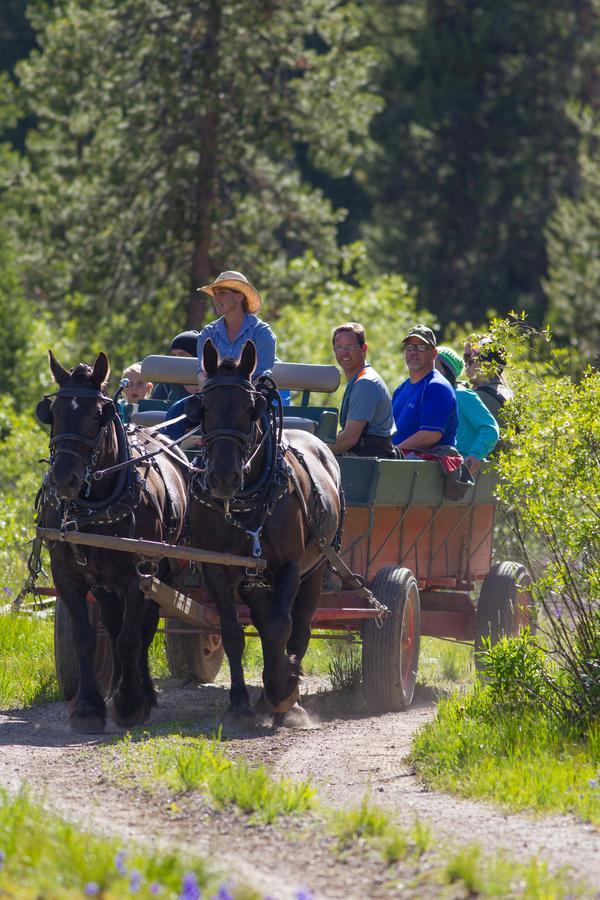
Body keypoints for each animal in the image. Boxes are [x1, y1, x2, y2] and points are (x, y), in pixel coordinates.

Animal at [37, 352, 188, 732]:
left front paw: (130, 704)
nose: (64, 479)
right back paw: (116, 686)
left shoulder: (139, 576)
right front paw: (88, 708)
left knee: (141, 629)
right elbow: (87, 638)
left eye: (97, 415)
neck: (96, 507)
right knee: (112, 621)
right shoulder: (68, 574)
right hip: (104, 582)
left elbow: (131, 638)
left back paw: (141, 692)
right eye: (53, 412)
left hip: (161, 572)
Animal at [190, 338, 344, 724]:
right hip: (253, 580)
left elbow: (280, 627)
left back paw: (288, 693)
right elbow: (233, 632)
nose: (223, 478)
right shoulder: (217, 568)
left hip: (316, 569)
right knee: (263, 621)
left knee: (298, 629)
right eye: (204, 408)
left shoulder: (289, 565)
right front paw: (240, 700)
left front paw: (282, 691)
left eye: (250, 409)